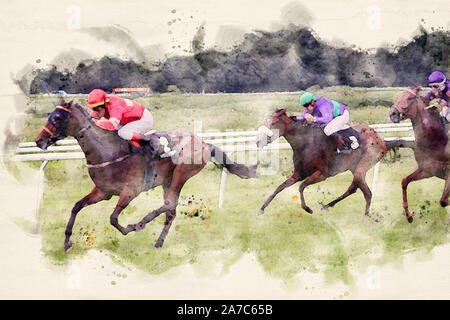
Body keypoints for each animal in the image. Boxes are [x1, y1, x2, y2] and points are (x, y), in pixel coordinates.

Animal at [34, 99, 256, 251]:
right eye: (49, 115)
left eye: (57, 118)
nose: (39, 141)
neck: (108, 151)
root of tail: (203, 143)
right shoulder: (103, 191)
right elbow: (76, 207)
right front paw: (67, 242)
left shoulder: (131, 190)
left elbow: (113, 218)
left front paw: (130, 228)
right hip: (168, 180)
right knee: (170, 211)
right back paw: (158, 242)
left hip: (182, 173)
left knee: (169, 204)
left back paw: (140, 223)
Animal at [256, 109, 400, 216]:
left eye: (274, 123)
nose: (258, 142)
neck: (306, 144)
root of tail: (381, 140)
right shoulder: (298, 173)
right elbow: (279, 188)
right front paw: (261, 209)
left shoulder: (322, 174)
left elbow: (301, 186)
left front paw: (308, 209)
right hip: (355, 168)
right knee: (367, 193)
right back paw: (365, 215)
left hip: (363, 165)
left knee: (353, 189)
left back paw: (327, 206)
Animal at [388, 86, 448, 224]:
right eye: (398, 96)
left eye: (409, 98)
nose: (392, 114)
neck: (437, 140)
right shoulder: (427, 170)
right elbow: (404, 181)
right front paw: (409, 215)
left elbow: (443, 201)